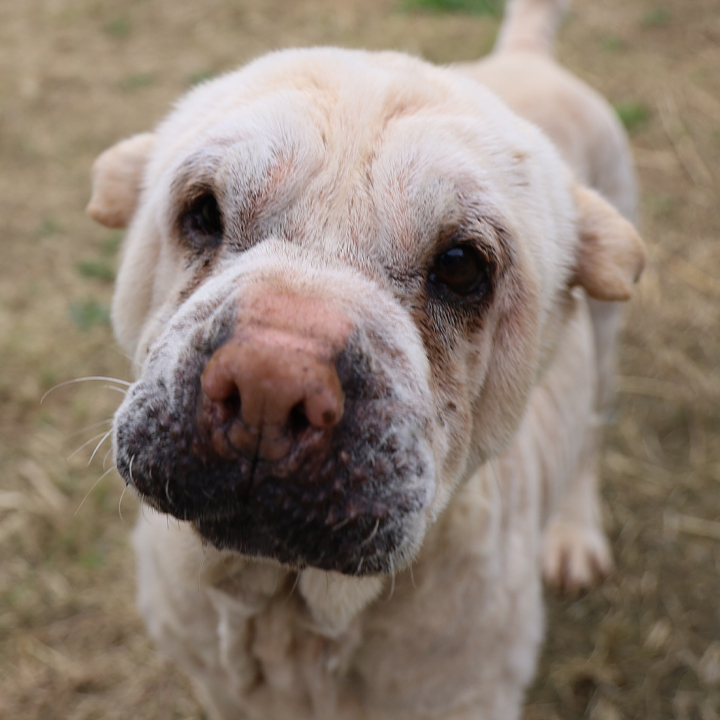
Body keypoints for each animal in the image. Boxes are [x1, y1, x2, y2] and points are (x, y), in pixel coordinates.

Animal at [87, 1, 644, 720]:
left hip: (605, 337)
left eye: (461, 267)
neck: (290, 613)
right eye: (203, 211)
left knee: (590, 441)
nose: (270, 383)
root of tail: (526, 57)